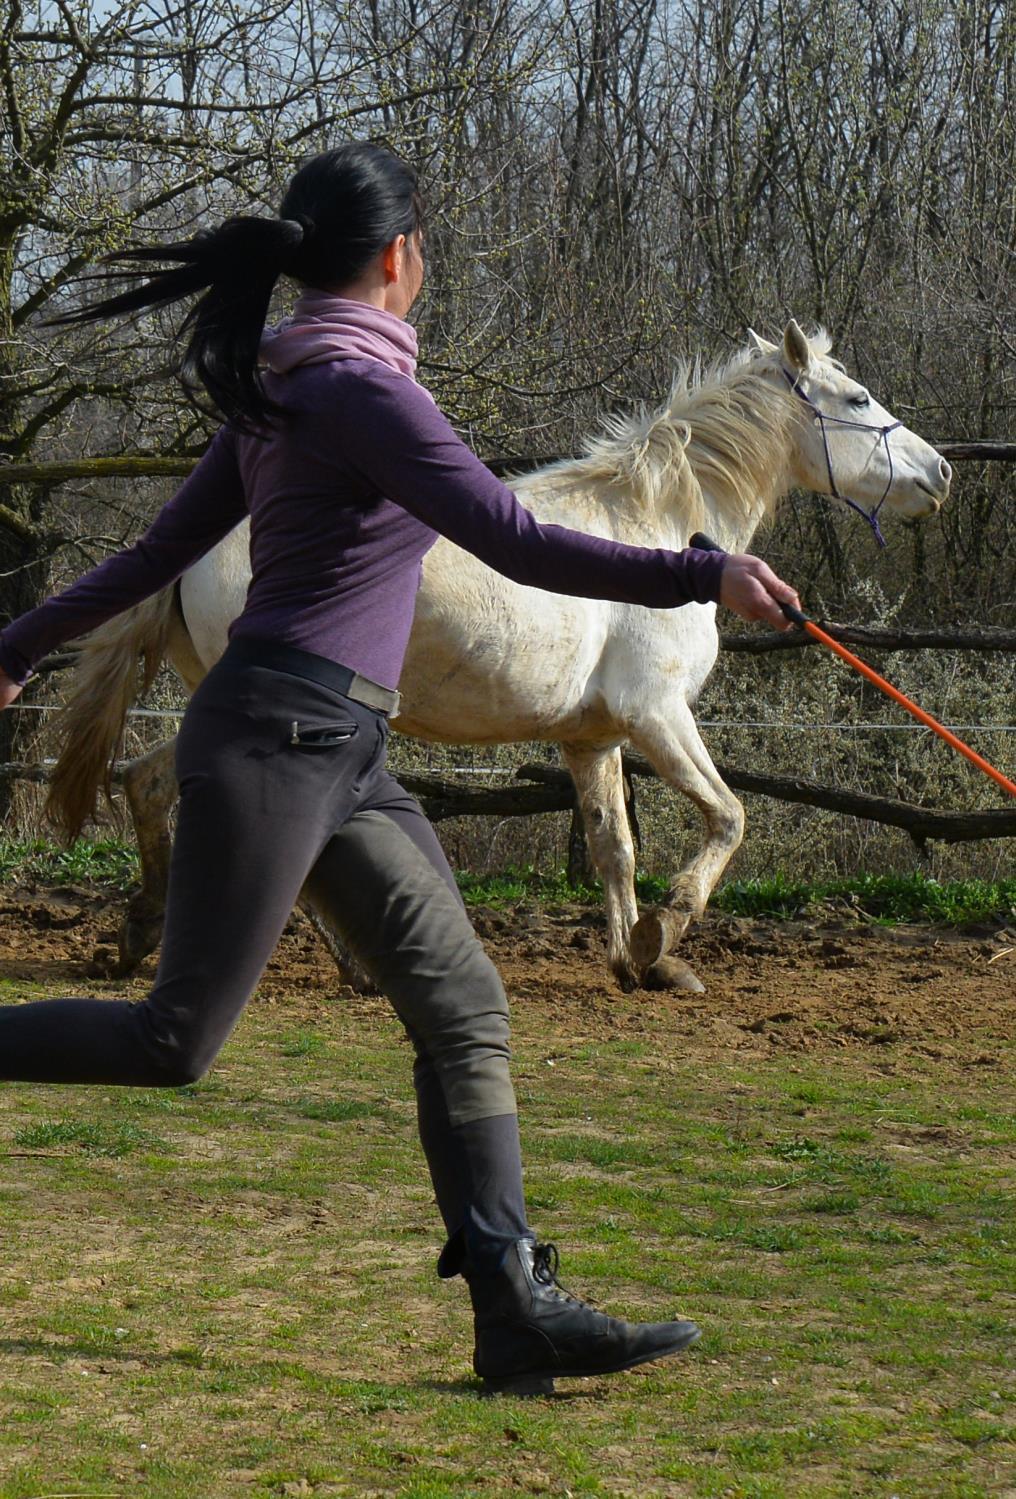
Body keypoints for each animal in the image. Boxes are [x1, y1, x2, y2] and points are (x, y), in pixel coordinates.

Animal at [47, 322, 953, 989]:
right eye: (857, 396)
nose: (941, 472)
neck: (658, 524)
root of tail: (196, 549)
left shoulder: (594, 740)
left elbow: (612, 848)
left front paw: (634, 962)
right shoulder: (659, 716)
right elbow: (729, 816)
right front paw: (662, 932)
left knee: (147, 782)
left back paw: (143, 929)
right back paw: (348, 966)